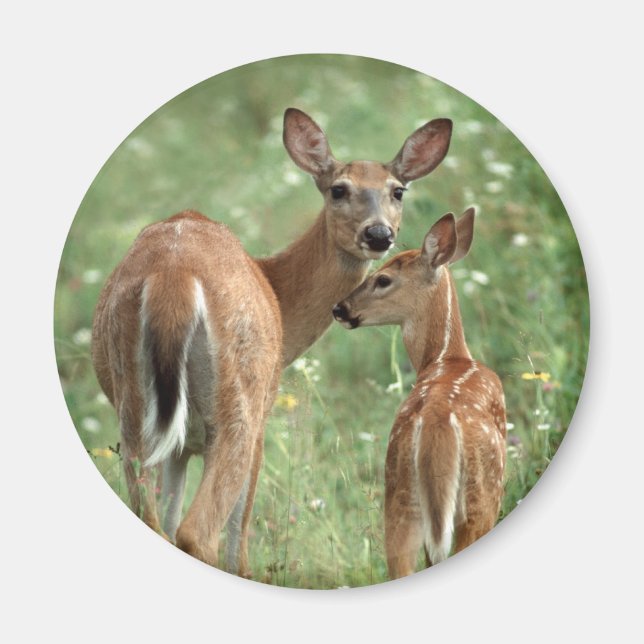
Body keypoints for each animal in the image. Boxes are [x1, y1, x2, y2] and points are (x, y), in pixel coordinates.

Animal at [91, 108, 453, 577]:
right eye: (338, 189)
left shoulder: (178, 446)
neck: (276, 290)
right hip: (239, 404)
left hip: (134, 411)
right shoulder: (262, 418)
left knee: (156, 522)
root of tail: (173, 277)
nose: (378, 235)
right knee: (200, 532)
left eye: (398, 190)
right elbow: (238, 529)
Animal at [333, 208, 507, 579]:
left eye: (383, 279)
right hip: (481, 497)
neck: (448, 356)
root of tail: (437, 425)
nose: (339, 309)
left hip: (400, 493)